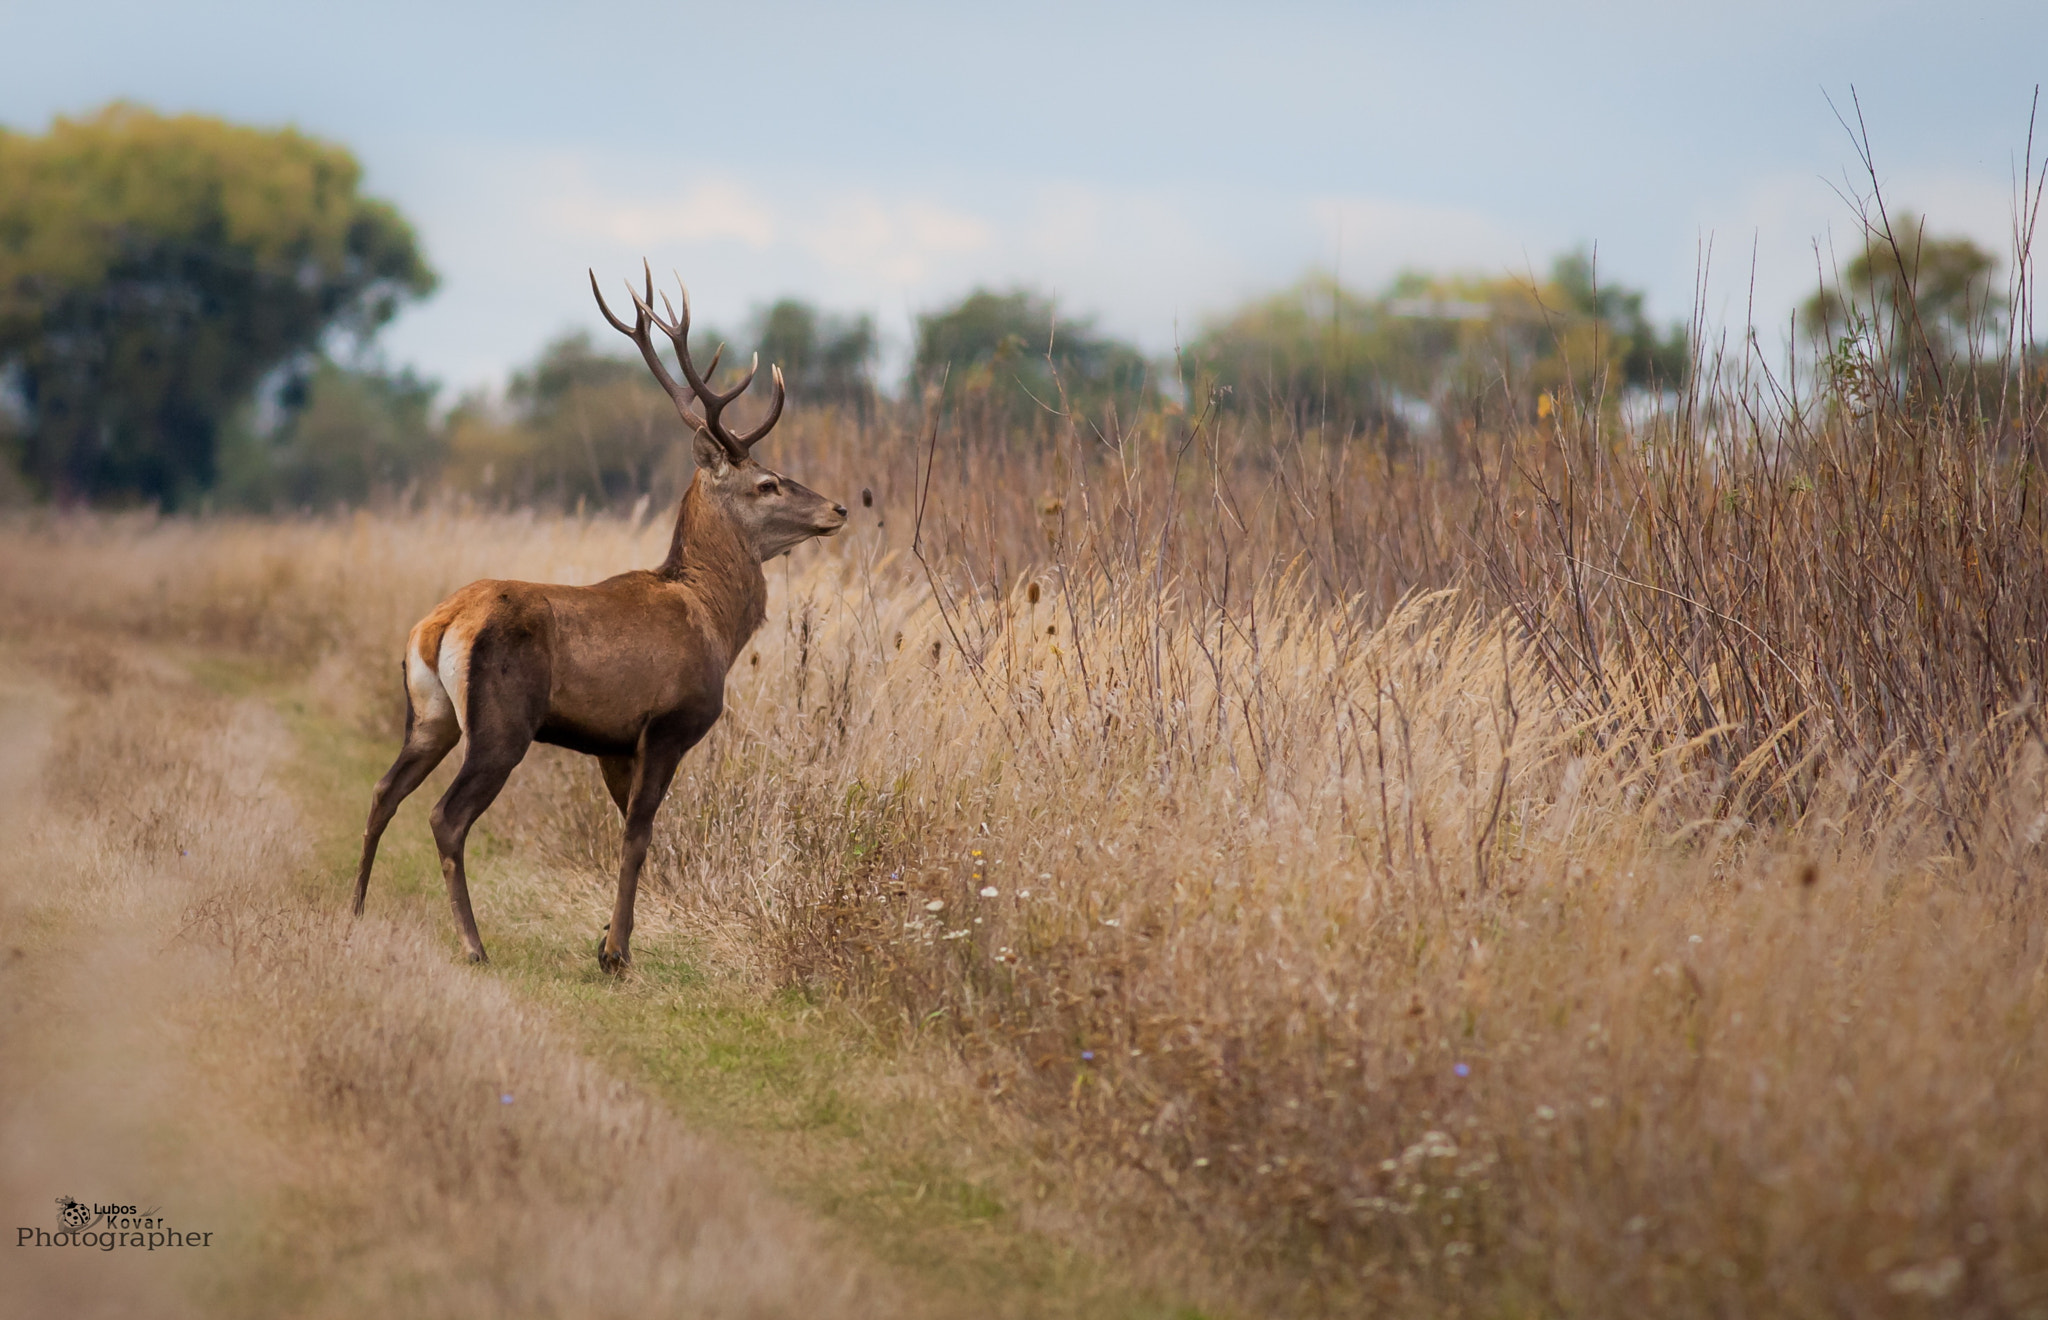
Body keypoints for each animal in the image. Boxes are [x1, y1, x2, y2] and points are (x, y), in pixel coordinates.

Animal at [351, 263, 847, 973]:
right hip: (502, 720)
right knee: (446, 815)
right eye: (768, 483)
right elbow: (639, 833)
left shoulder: (614, 740)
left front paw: (612, 938)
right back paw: (473, 944)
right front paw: (615, 952)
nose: (838, 509)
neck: (713, 621)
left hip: (430, 713)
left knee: (383, 791)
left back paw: (357, 909)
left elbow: (628, 831)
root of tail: (439, 625)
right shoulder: (669, 722)